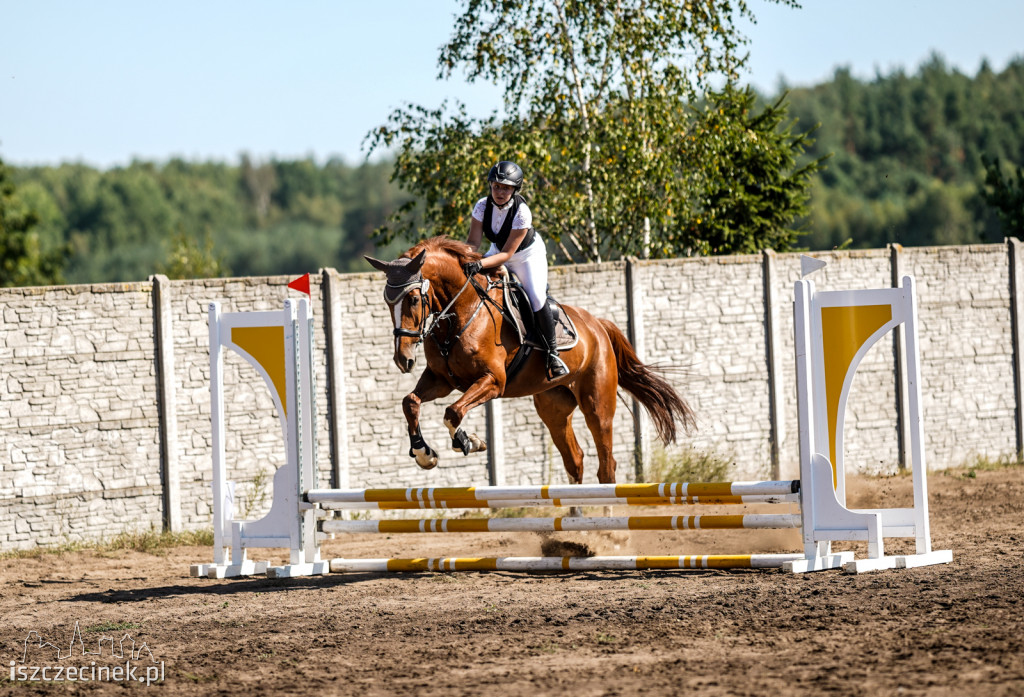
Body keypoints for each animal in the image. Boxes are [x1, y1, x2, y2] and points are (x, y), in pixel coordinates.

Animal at [366, 236, 696, 481]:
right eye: (387, 301)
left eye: (412, 299)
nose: (403, 359)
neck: (461, 312)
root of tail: (598, 326)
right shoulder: (442, 380)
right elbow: (410, 402)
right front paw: (425, 454)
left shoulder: (492, 382)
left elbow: (453, 412)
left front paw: (468, 441)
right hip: (553, 407)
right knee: (575, 460)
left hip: (597, 405)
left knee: (607, 464)